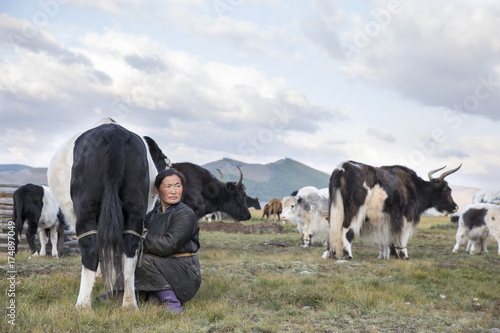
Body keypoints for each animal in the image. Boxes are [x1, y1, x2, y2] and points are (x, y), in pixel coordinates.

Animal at [48, 117, 170, 308]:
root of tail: (113, 133)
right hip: (134, 206)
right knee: (129, 250)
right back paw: (129, 304)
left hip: (86, 207)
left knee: (90, 248)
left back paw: (83, 304)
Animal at [324, 160, 460, 258]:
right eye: (447, 189)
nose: (455, 207)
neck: (414, 187)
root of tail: (342, 168)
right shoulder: (406, 216)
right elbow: (402, 235)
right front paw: (404, 255)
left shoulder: (388, 218)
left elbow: (390, 236)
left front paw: (393, 255)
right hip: (354, 210)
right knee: (346, 228)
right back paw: (348, 255)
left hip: (334, 207)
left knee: (332, 228)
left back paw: (330, 254)